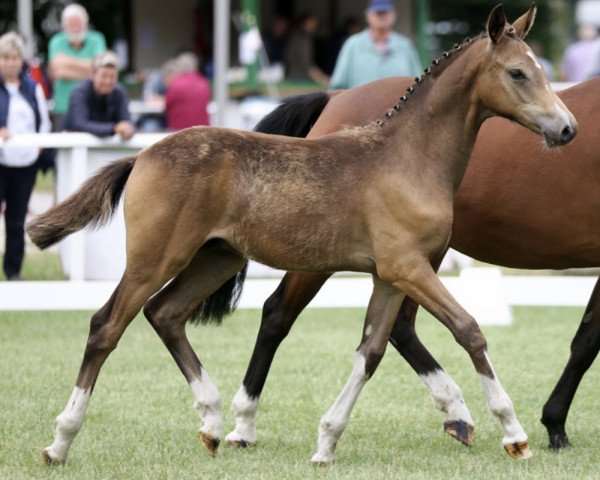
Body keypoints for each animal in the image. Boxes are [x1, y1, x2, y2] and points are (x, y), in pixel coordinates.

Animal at [223, 65, 600, 452]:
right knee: (278, 313)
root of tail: (337, 96)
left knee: (399, 327)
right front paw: (554, 425)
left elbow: (586, 338)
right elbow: (587, 343)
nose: (566, 130)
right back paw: (244, 425)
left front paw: (553, 423)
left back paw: (456, 412)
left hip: (415, 256)